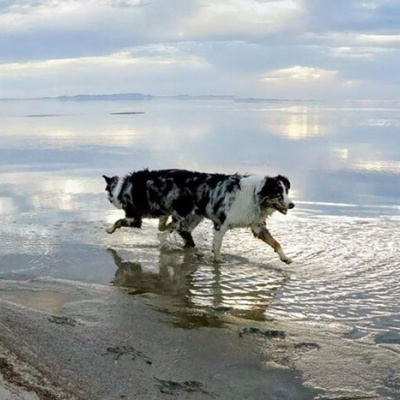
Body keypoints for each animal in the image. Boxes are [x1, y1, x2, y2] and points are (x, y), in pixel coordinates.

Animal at [104, 170, 294, 266]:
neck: (256, 195)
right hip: (186, 212)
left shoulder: (256, 225)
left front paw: (284, 258)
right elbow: (217, 246)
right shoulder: (221, 223)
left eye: (286, 191)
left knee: (179, 230)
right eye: (278, 193)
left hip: (193, 216)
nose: (292, 204)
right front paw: (217, 260)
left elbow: (275, 242)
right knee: (177, 228)